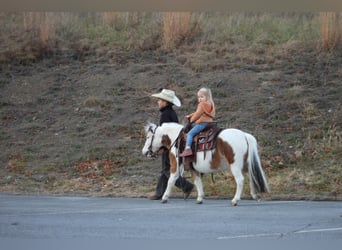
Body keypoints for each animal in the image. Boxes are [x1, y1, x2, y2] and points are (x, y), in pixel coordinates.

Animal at [142, 121, 270, 205]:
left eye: (148, 137)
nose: (144, 152)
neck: (177, 139)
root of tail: (244, 135)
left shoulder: (176, 165)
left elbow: (171, 180)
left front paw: (164, 197)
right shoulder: (194, 169)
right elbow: (198, 182)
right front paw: (200, 198)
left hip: (235, 166)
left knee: (240, 180)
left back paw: (235, 200)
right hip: (245, 165)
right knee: (252, 176)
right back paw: (255, 195)